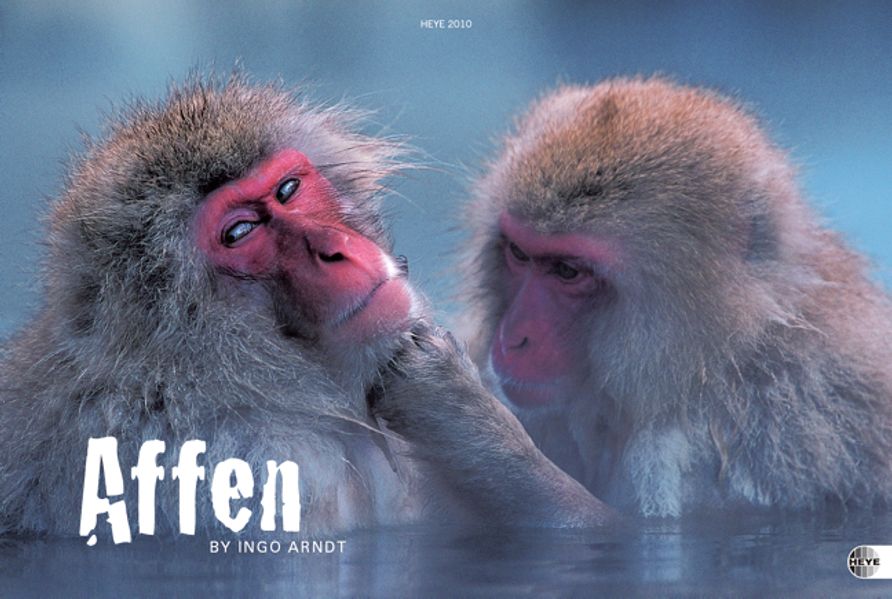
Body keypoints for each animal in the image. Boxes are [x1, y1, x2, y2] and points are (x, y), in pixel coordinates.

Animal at [459, 76, 892, 518]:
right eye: (518, 253)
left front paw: (479, 432)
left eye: (567, 271)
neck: (720, 356)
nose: (512, 338)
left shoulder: (749, 432)